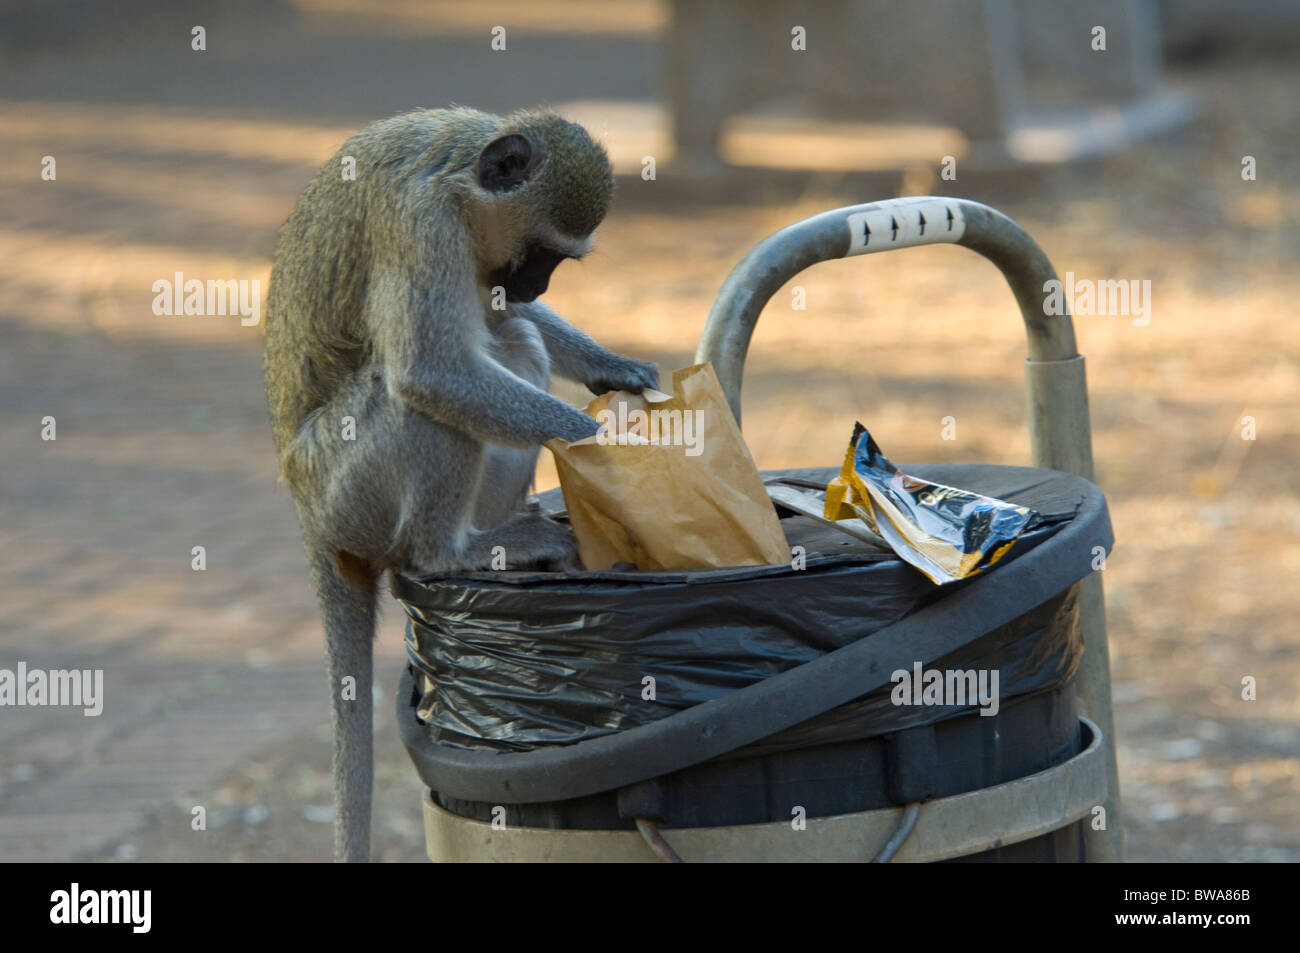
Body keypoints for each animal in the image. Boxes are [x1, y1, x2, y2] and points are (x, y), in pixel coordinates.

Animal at [265, 105, 660, 863]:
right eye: (542, 251)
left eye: (559, 260)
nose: (539, 287)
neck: (457, 172)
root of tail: (303, 511)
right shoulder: (422, 230)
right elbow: (434, 372)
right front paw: (614, 443)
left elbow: (501, 321)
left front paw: (613, 365)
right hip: (347, 490)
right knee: (424, 402)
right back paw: (450, 554)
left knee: (513, 341)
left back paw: (510, 543)